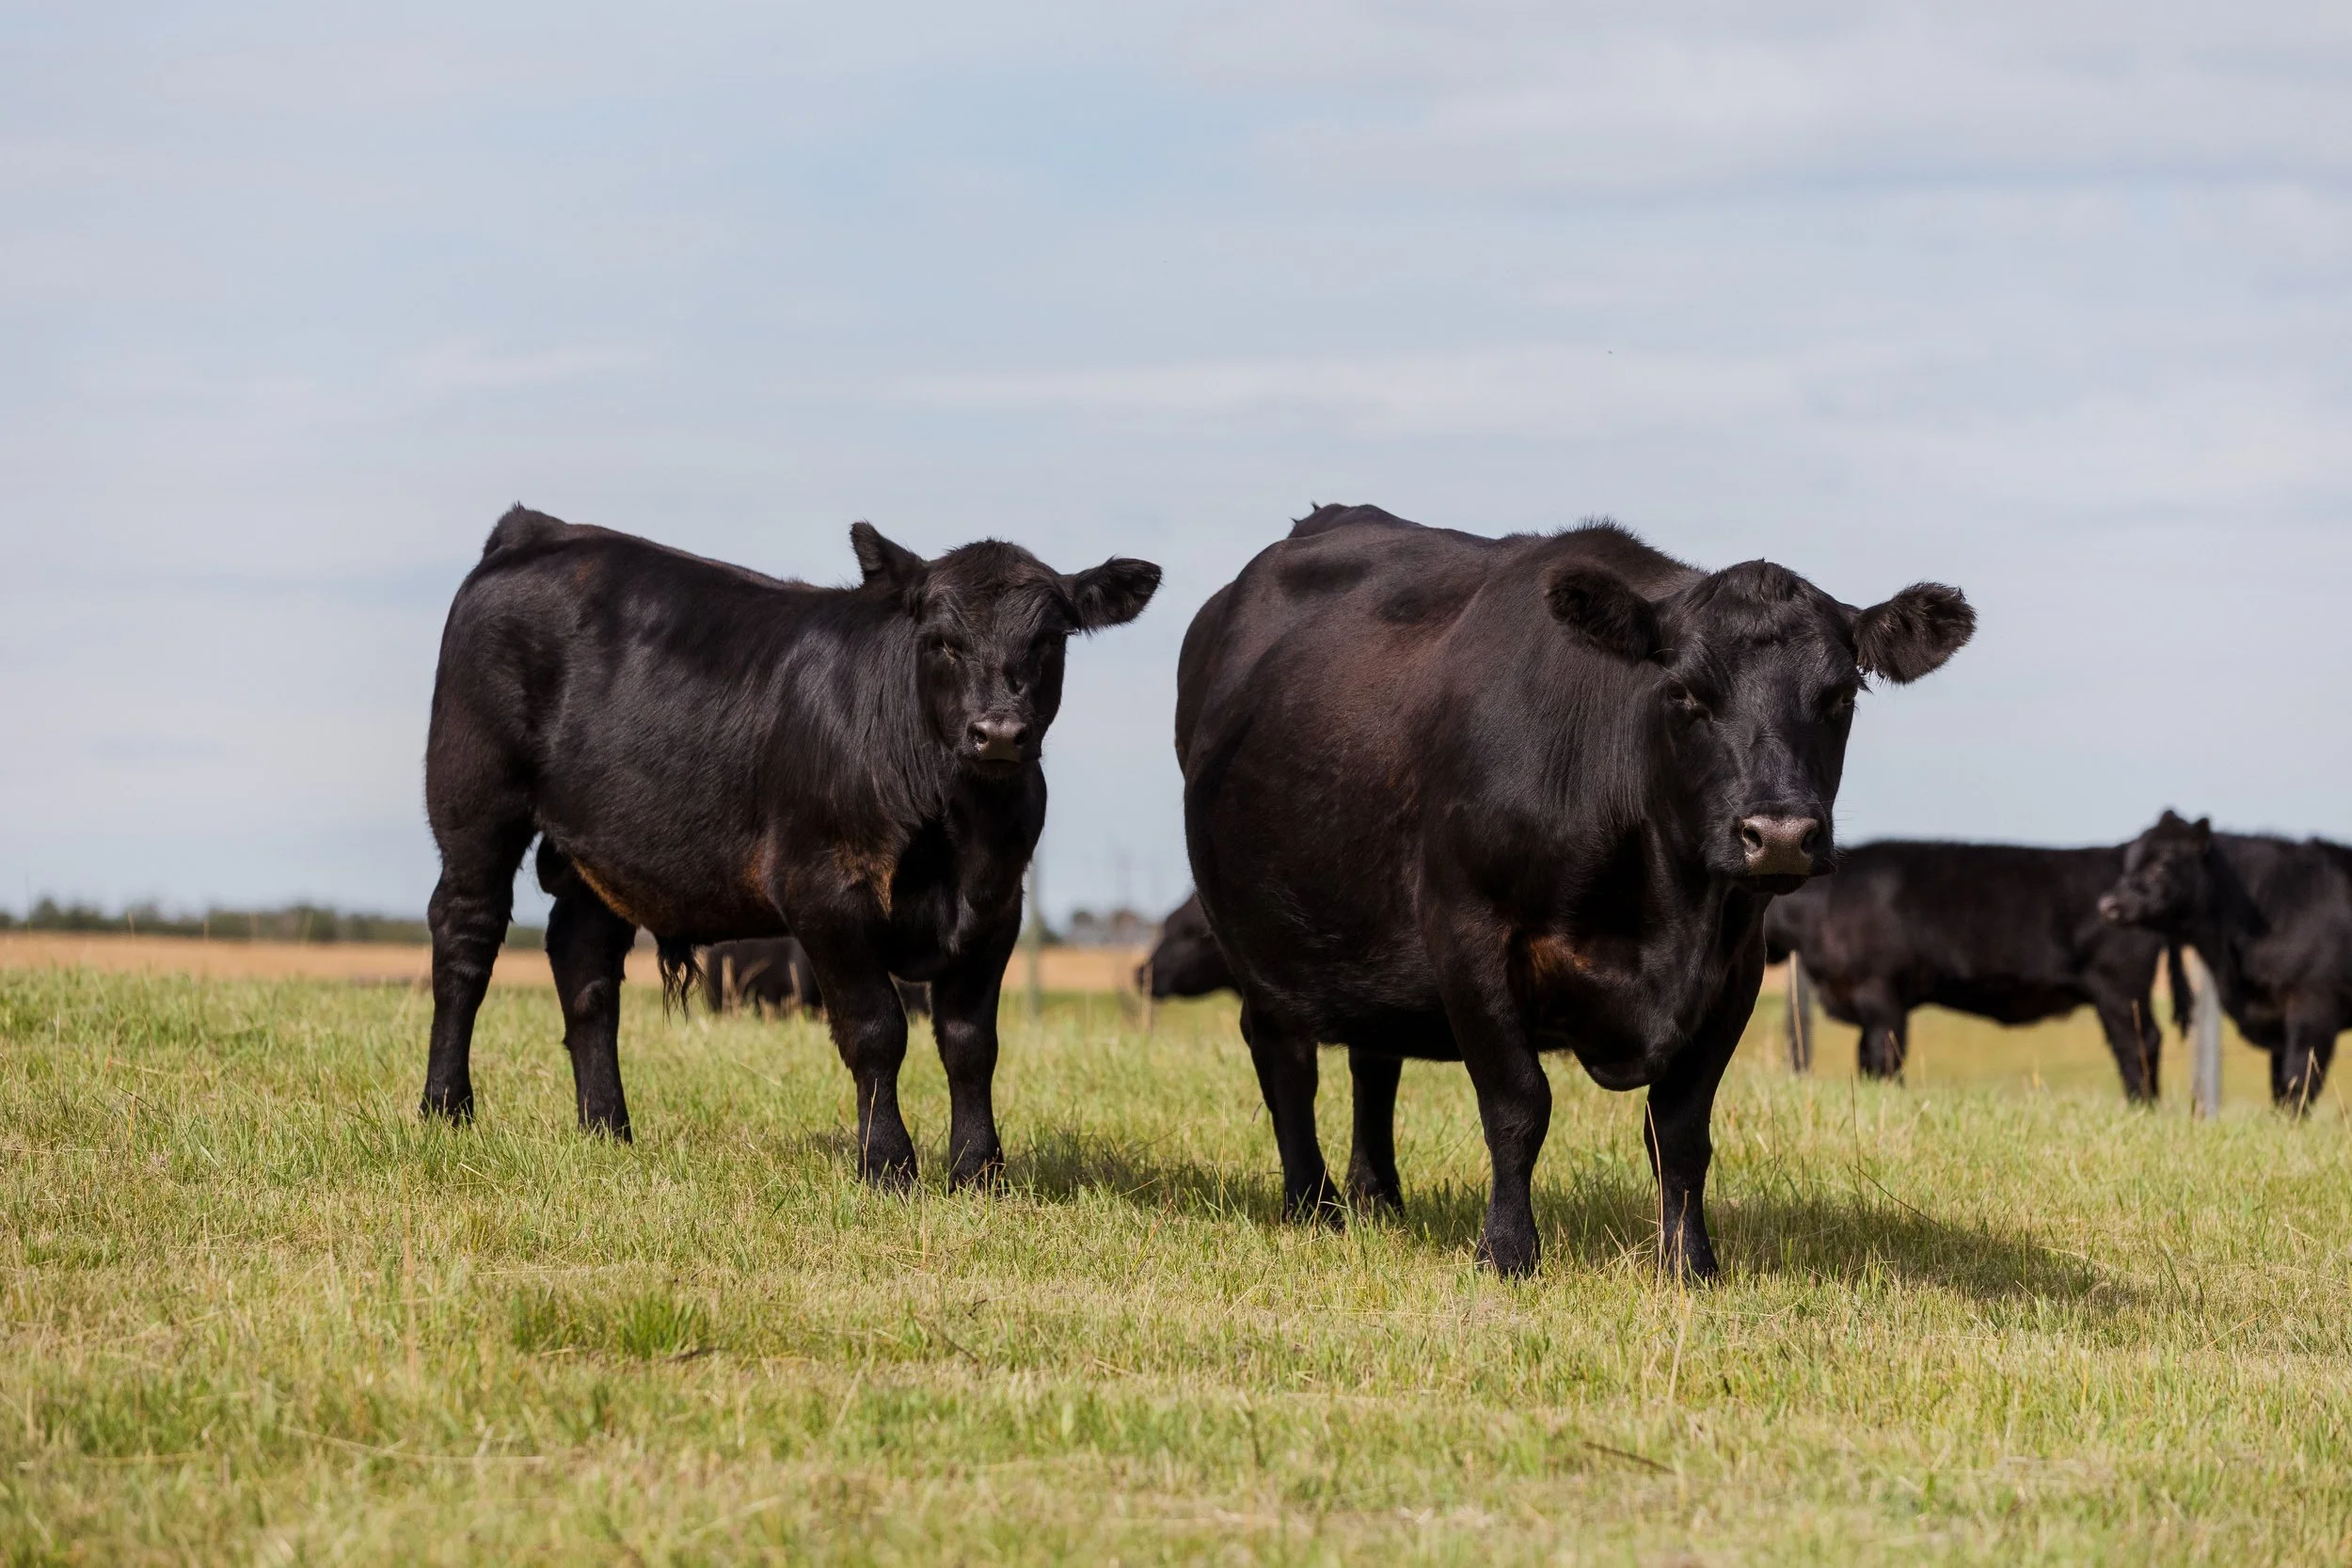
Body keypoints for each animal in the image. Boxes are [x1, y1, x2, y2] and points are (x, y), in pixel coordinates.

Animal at [421, 506, 1159, 1184]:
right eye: (941, 640)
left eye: (1049, 640)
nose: (999, 732)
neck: (956, 825)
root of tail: (538, 528)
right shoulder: (823, 891)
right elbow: (876, 1030)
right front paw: (887, 1164)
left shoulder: (998, 905)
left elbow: (971, 1043)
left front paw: (980, 1171)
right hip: (474, 803)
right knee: (467, 937)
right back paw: (447, 1109)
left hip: (601, 849)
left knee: (585, 967)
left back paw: (607, 1128)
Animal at [1176, 504, 1973, 1278]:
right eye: (1684, 693)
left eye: (1839, 696)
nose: (1779, 832)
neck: (1662, 915)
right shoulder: (1468, 930)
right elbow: (1518, 1105)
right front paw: (1507, 1252)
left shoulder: (1736, 966)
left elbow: (1680, 1128)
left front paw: (1688, 1262)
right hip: (1257, 937)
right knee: (1286, 1058)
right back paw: (1313, 1205)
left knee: (1374, 1057)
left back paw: (1378, 1196)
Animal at [1761, 841, 2187, 1099]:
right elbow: (1865, 1057)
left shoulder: (1881, 994)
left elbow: (1885, 1057)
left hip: (2120, 990)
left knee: (2138, 1043)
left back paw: (2142, 1105)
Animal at [2098, 810, 2352, 1111]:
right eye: (2129, 864)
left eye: (2160, 865)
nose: (2108, 905)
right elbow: (2279, 1083)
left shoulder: (2314, 1006)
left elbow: (2298, 1077)